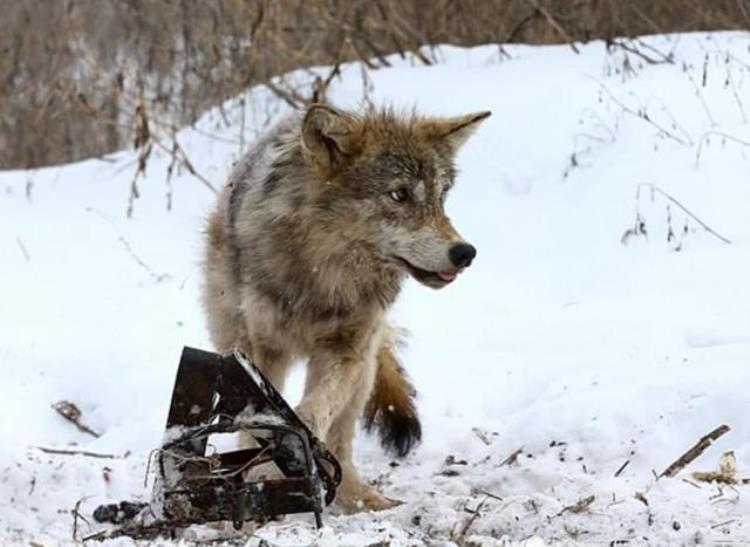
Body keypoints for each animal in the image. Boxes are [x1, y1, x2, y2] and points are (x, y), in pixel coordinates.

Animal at [203, 104, 490, 512]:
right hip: (233, 338)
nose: (465, 253)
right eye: (399, 195)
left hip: (365, 369)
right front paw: (261, 472)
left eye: (441, 198)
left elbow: (313, 411)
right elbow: (261, 420)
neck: (325, 277)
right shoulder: (264, 350)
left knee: (340, 441)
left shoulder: (347, 350)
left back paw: (364, 499)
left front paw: (289, 454)